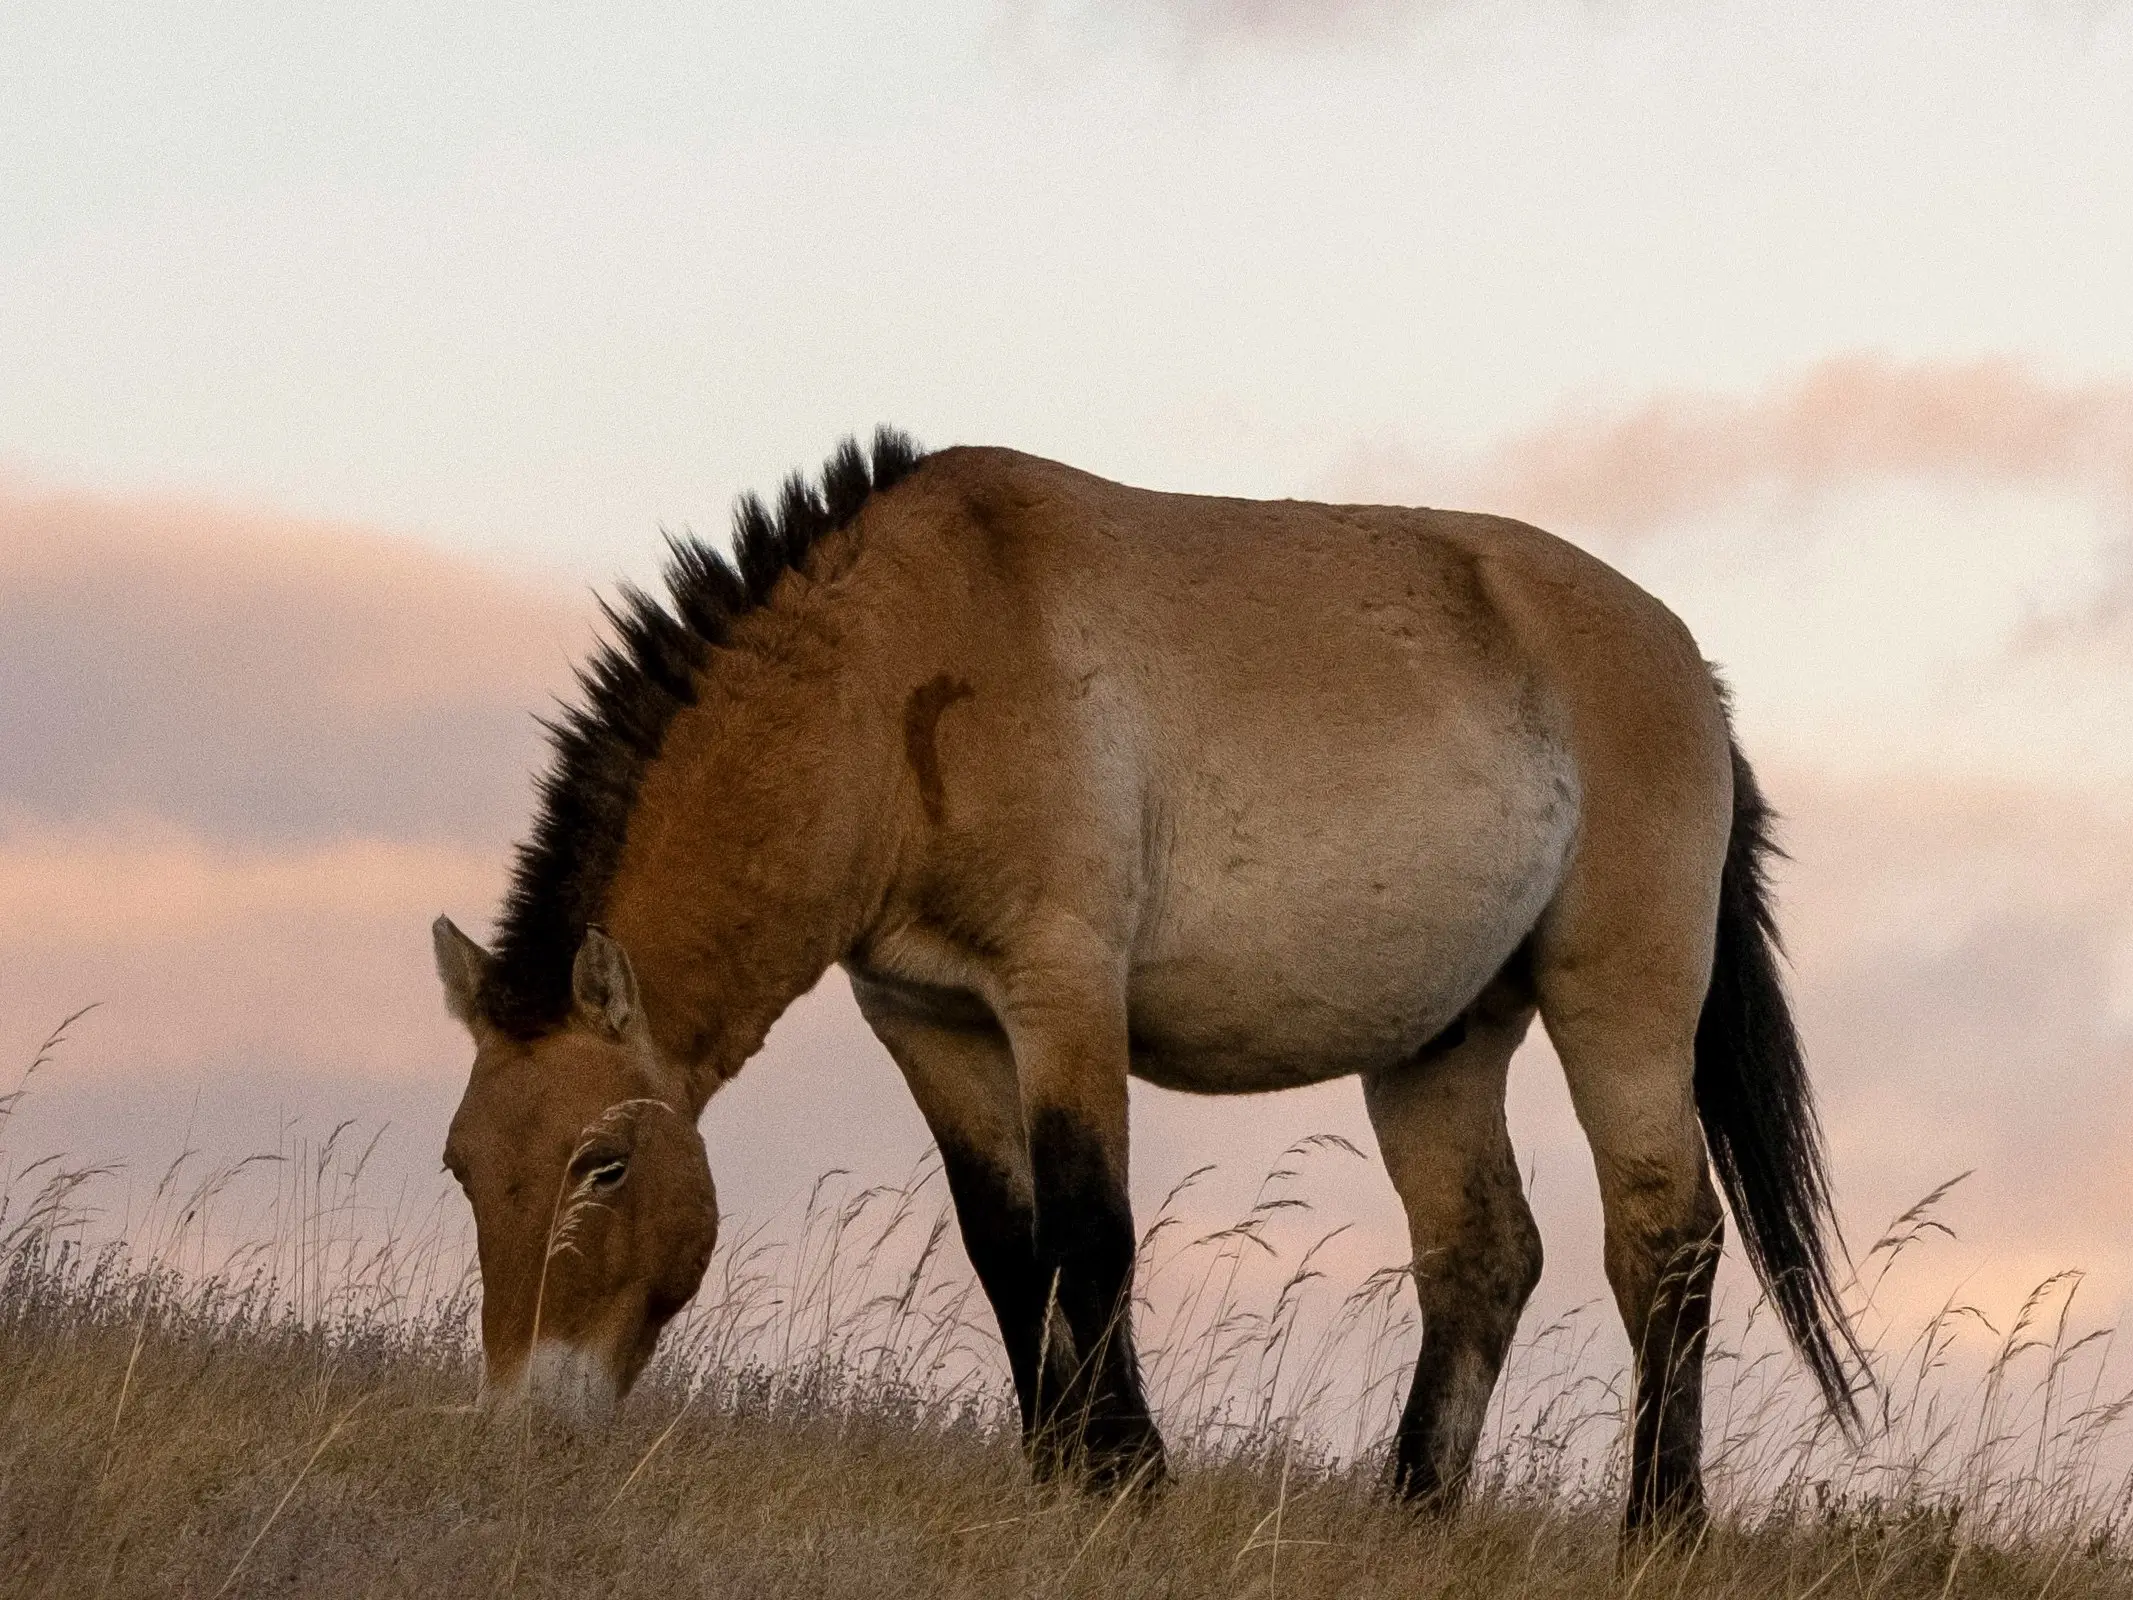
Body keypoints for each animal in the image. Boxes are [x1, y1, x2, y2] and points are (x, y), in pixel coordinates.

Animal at [424, 428, 1859, 1544]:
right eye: (465, 1168)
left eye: (603, 1164)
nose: (525, 1427)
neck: (901, 678)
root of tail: (1689, 667)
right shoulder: (930, 1022)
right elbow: (1008, 1249)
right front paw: (1056, 1467)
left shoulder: (1064, 994)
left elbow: (1091, 1231)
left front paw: (1126, 1477)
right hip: (1439, 1042)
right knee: (1482, 1255)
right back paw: (1410, 1511)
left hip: (1623, 1005)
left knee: (1665, 1241)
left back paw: (1659, 1525)